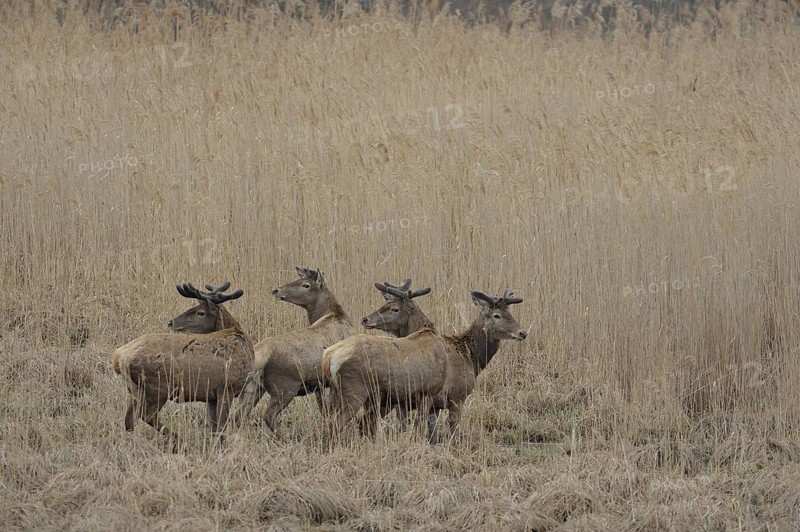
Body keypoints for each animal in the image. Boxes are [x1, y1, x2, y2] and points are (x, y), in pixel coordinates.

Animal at [111, 282, 254, 442]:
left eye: (200, 312)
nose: (171, 322)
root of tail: (119, 357)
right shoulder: (226, 387)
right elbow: (221, 427)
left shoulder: (211, 395)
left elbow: (214, 426)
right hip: (158, 386)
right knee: (146, 415)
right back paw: (177, 437)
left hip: (136, 390)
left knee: (129, 420)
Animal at [232, 267, 353, 431]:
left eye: (305, 284)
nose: (276, 290)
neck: (334, 313)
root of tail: (258, 355)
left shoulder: (319, 384)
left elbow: (324, 410)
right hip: (285, 386)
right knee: (268, 415)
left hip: (254, 387)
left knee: (238, 415)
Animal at [324, 289, 526, 444]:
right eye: (497, 315)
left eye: (511, 313)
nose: (522, 333)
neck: (470, 357)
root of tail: (329, 356)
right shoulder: (454, 396)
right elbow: (451, 431)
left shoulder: (433, 404)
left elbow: (430, 432)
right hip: (355, 390)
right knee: (337, 423)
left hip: (342, 394)